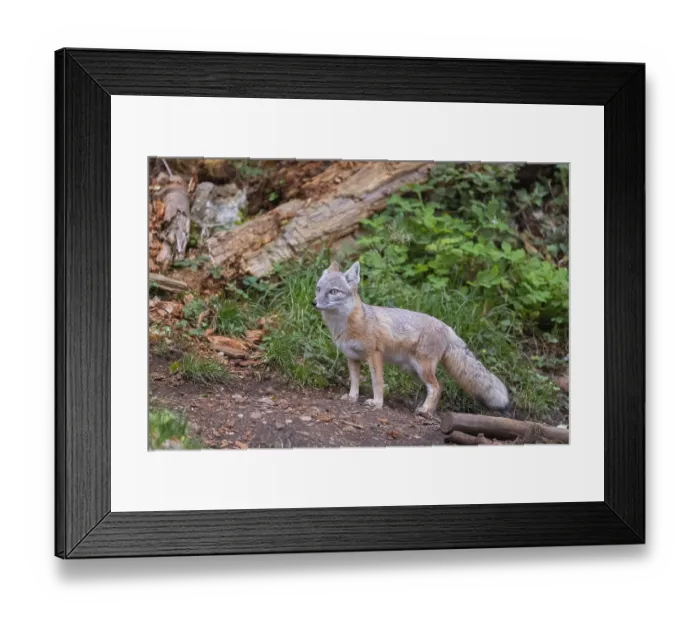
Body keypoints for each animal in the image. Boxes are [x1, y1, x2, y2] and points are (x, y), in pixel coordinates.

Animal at [312, 260, 511, 418]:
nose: (313, 303)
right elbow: (354, 381)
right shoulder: (352, 357)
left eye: (333, 291)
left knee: (437, 387)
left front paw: (377, 404)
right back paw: (428, 410)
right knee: (439, 387)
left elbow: (377, 382)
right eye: (318, 289)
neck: (347, 324)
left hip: (422, 368)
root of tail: (447, 327)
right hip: (415, 372)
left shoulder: (374, 355)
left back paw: (425, 411)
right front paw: (352, 398)